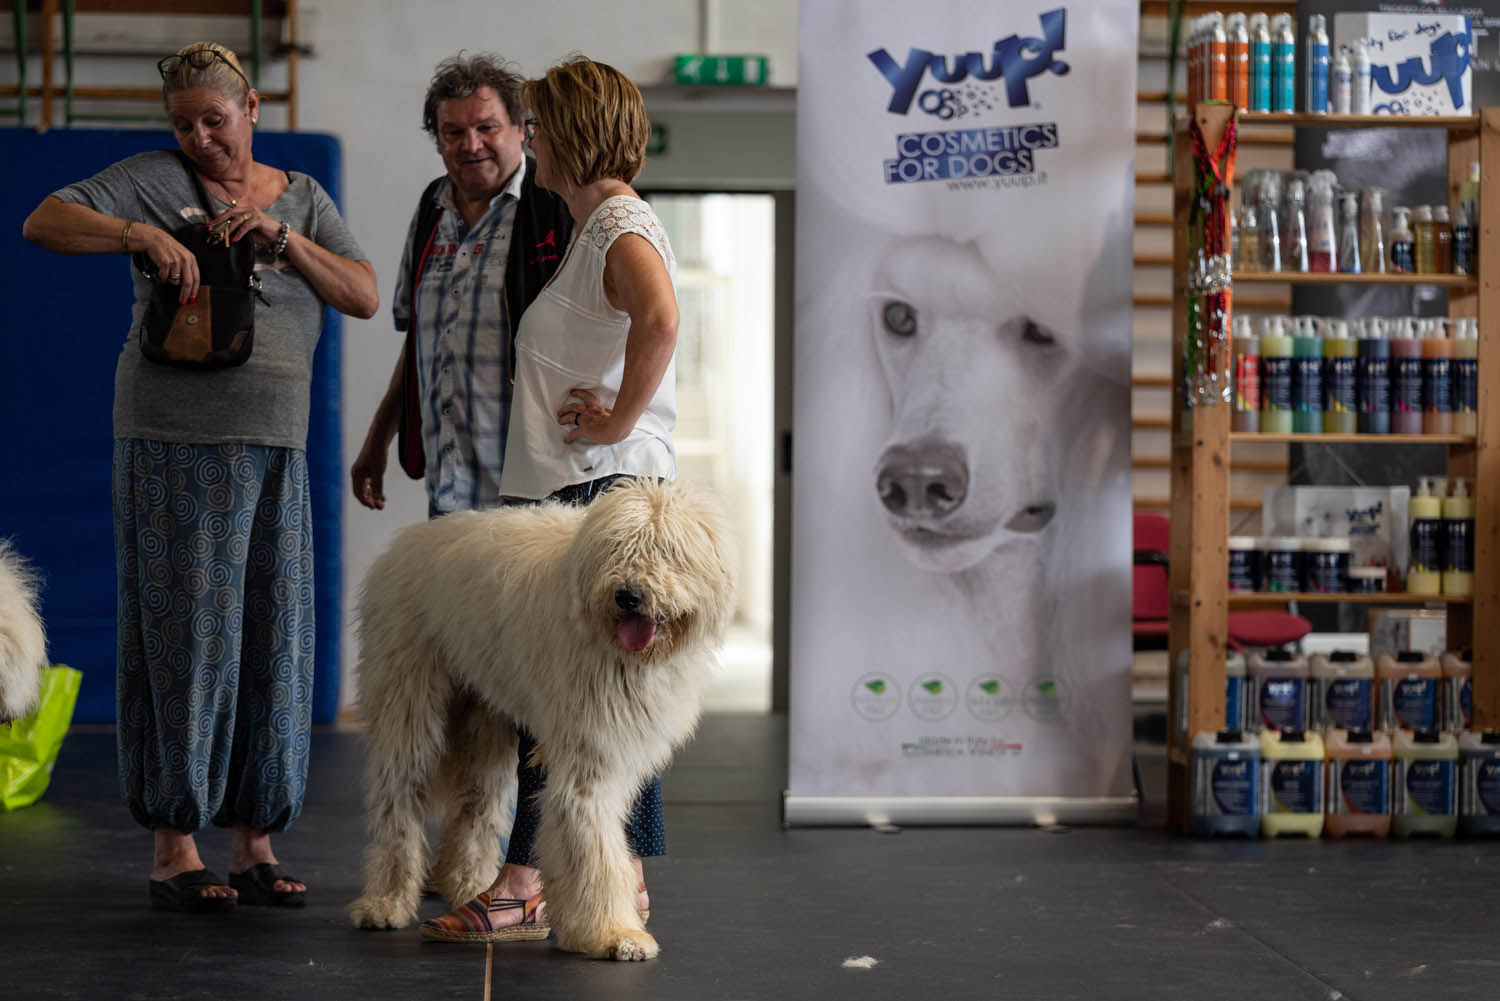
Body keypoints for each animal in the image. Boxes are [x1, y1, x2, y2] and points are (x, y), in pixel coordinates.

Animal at [345, 480, 732, 960]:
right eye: (616, 549)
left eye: (665, 551)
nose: (627, 596)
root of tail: (404, 542)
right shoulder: (589, 753)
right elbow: (594, 846)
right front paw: (612, 932)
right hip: (408, 703)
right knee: (397, 798)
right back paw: (387, 901)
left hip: (484, 714)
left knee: (476, 803)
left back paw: (470, 885)